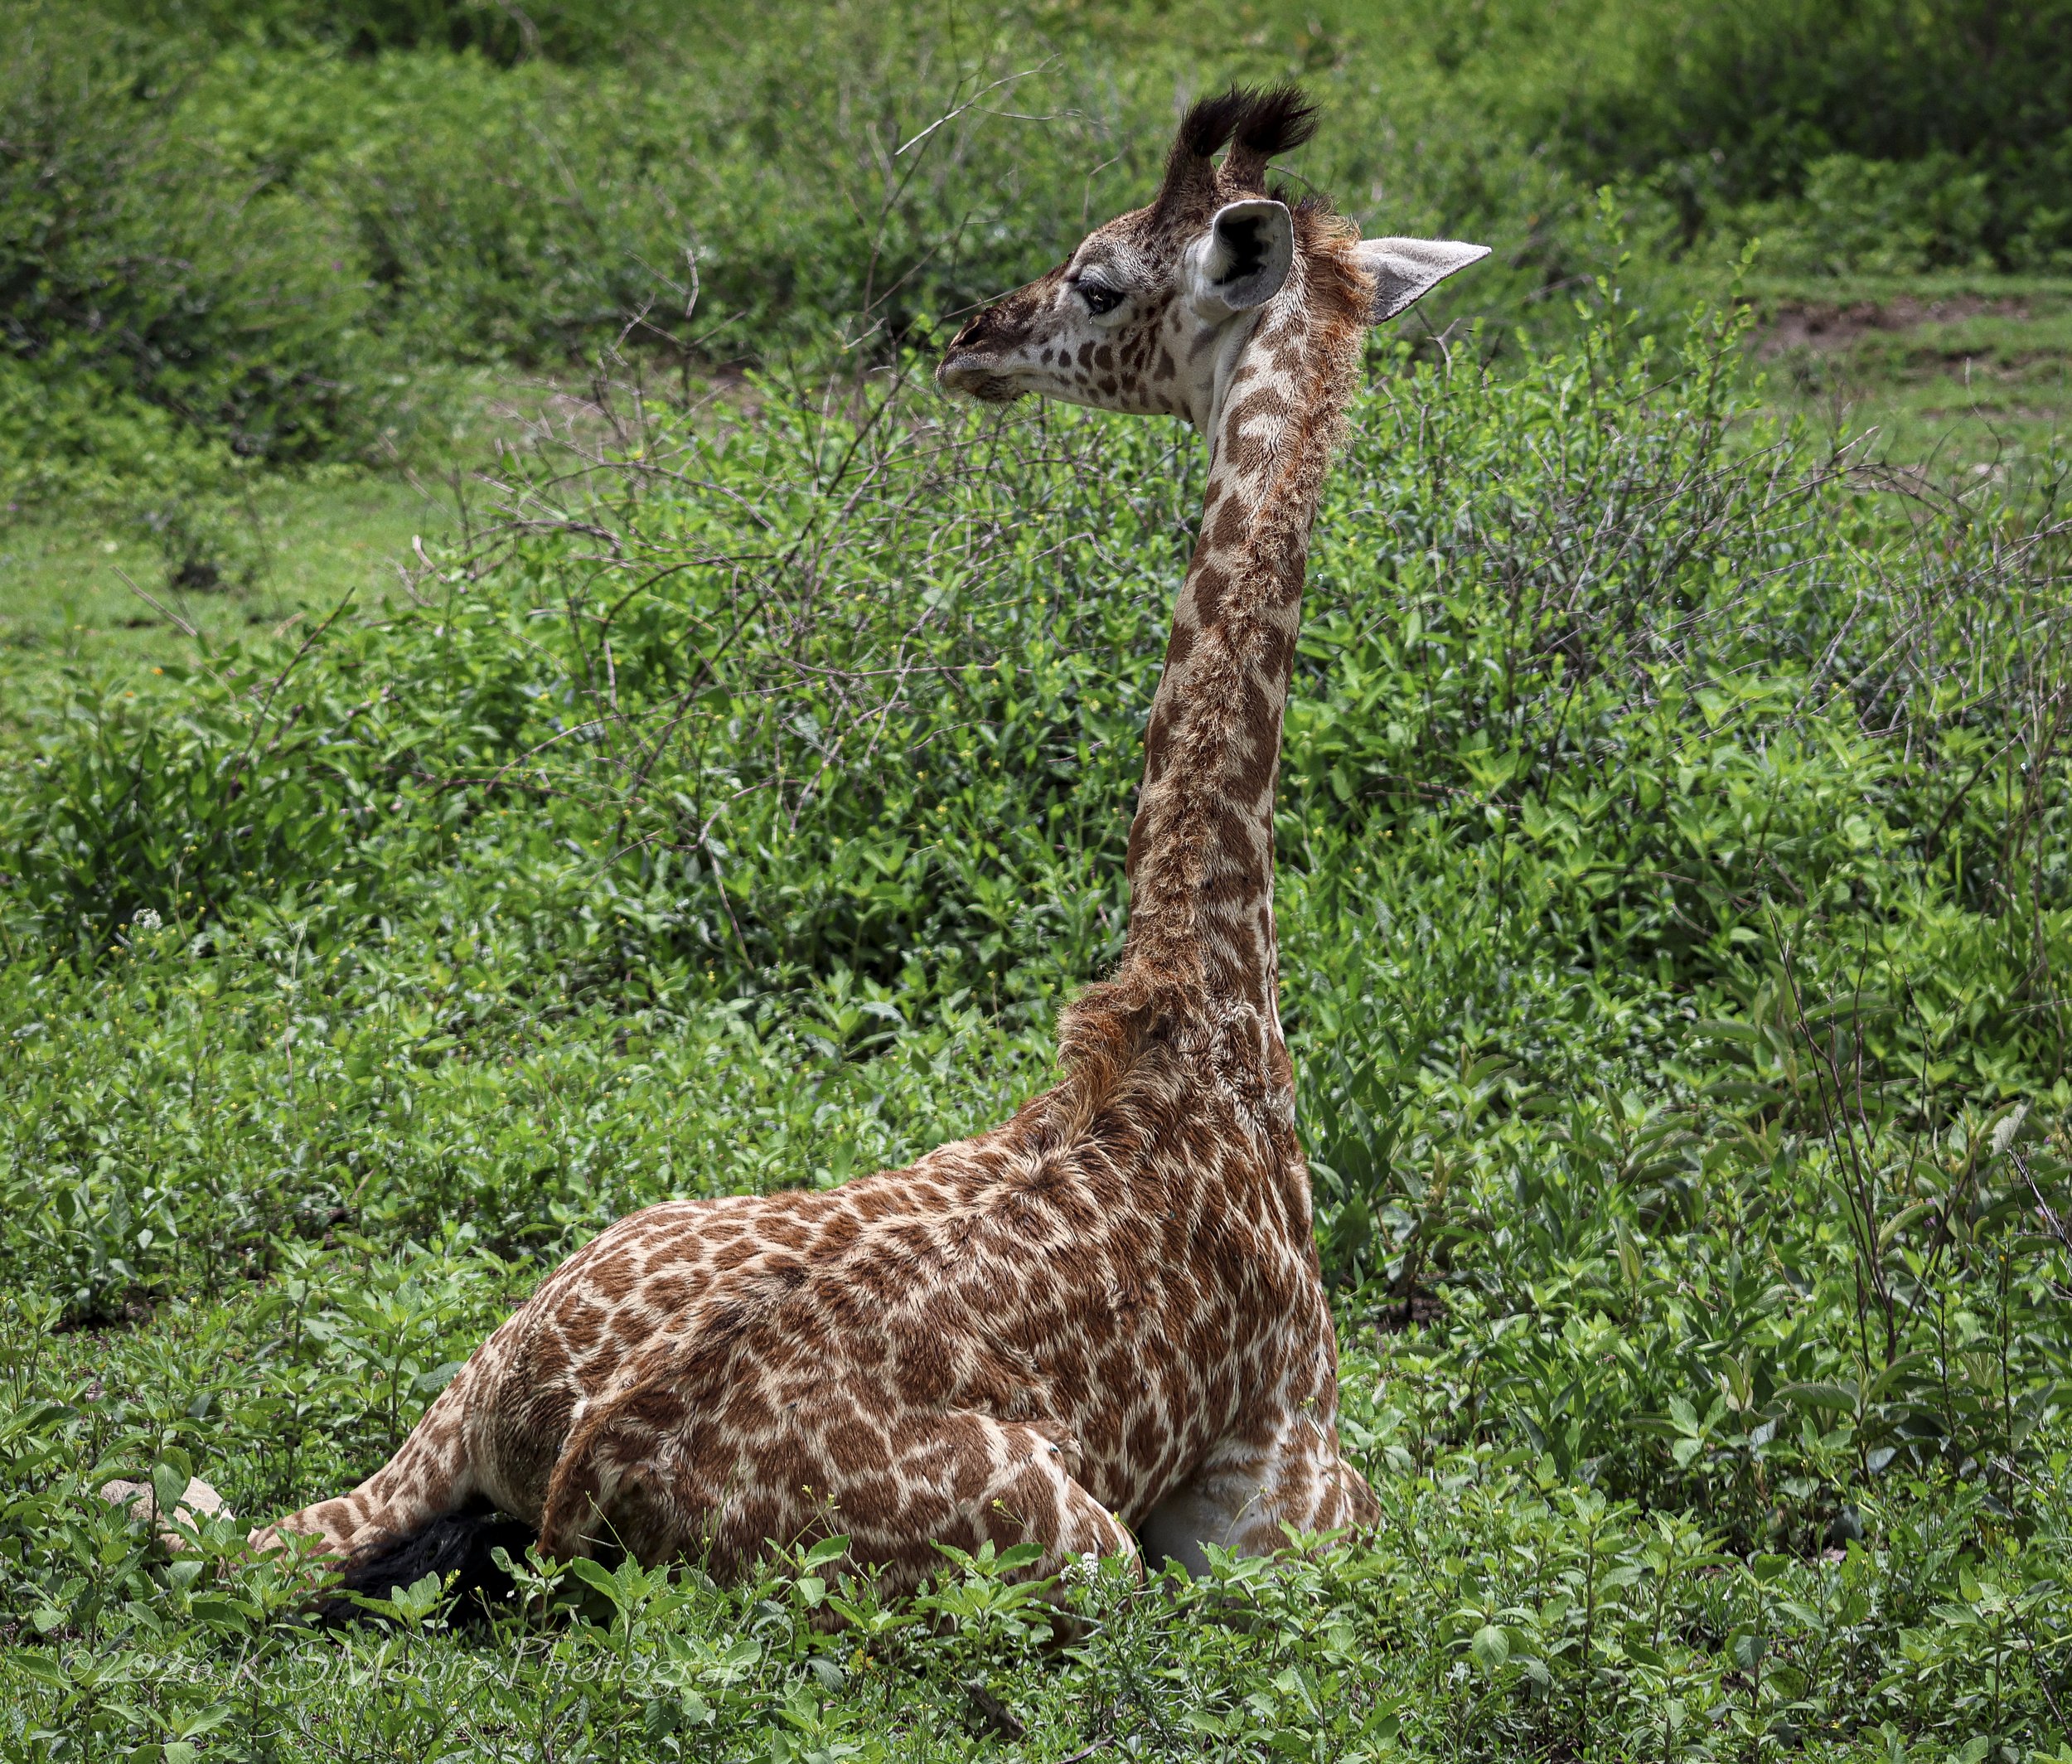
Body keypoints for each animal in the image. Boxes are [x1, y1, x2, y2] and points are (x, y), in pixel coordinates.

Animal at [246, 86, 1487, 1601]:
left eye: (1097, 280)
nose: (971, 335)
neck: (1207, 1012)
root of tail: (562, 1442)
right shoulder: (1289, 1496)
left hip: (527, 1325)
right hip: (1081, 1549)